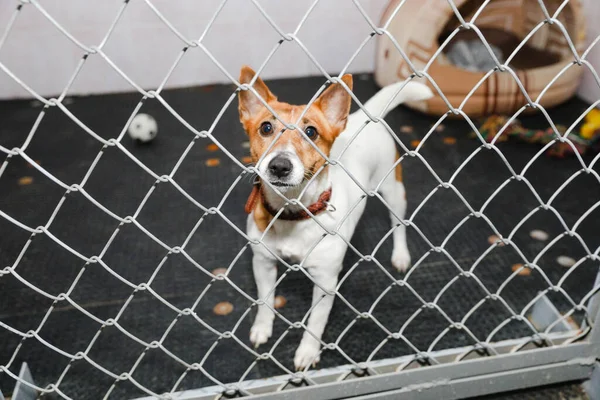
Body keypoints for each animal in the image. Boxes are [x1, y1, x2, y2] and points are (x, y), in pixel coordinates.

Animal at [237, 65, 434, 368]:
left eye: (311, 131)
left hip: (394, 191)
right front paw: (262, 327)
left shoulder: (325, 281)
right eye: (266, 128)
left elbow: (315, 323)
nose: (279, 166)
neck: (293, 214)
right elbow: (265, 301)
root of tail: (364, 115)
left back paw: (400, 255)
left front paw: (307, 352)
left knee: (399, 225)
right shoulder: (263, 263)